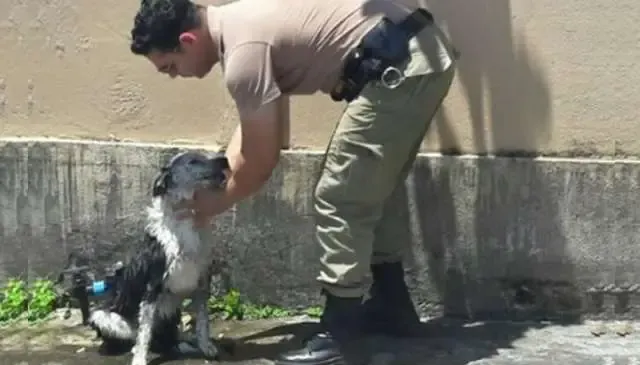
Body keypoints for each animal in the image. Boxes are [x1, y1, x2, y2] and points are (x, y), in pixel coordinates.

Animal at [88, 150, 230, 364]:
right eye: (193, 161)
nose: (225, 160)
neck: (185, 221)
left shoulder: (202, 282)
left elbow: (203, 322)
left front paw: (206, 347)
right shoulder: (152, 286)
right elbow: (144, 333)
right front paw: (139, 359)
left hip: (171, 311)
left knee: (165, 339)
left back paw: (180, 345)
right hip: (103, 316)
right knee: (133, 337)